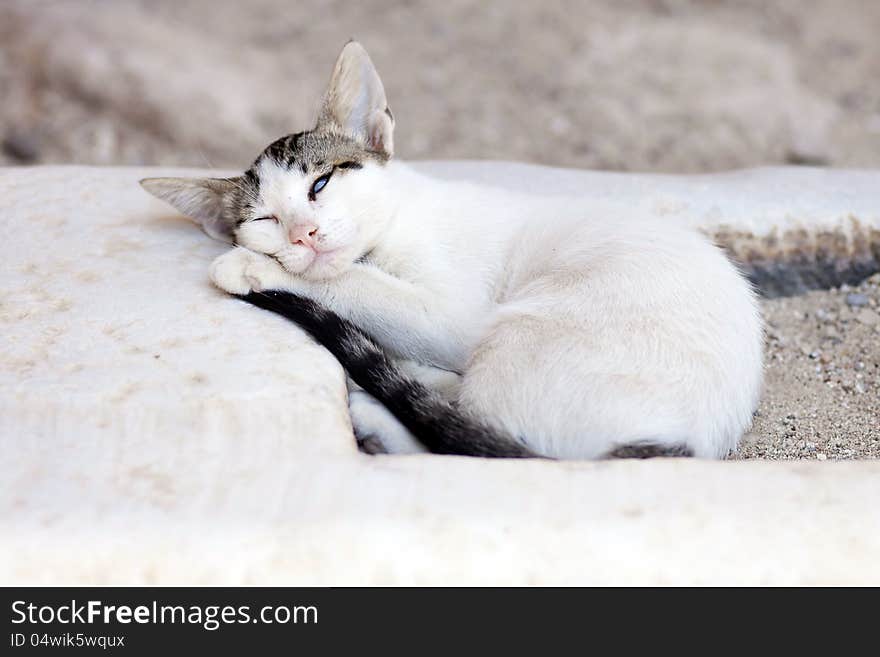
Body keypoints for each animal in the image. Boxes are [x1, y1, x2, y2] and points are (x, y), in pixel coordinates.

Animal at [143, 41, 764, 458]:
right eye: (266, 219)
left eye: (319, 184)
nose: (303, 236)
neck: (391, 226)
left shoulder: (452, 313)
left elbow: (351, 284)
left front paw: (253, 265)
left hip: (526, 333)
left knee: (477, 443)